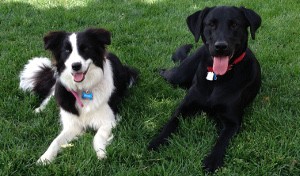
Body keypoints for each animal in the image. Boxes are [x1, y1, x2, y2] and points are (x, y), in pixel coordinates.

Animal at [20, 28, 138, 164]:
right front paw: (45, 158)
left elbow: (97, 136)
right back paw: (39, 109)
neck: (83, 88)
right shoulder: (71, 124)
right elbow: (55, 141)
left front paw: (101, 153)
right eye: (66, 50)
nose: (76, 66)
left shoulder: (109, 120)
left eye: (85, 48)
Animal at [149, 6, 262, 172]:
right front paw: (157, 142)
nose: (220, 46)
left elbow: (222, 140)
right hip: (178, 75)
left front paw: (212, 161)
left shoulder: (232, 122)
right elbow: (170, 124)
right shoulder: (184, 108)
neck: (217, 78)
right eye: (211, 24)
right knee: (164, 71)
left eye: (235, 25)